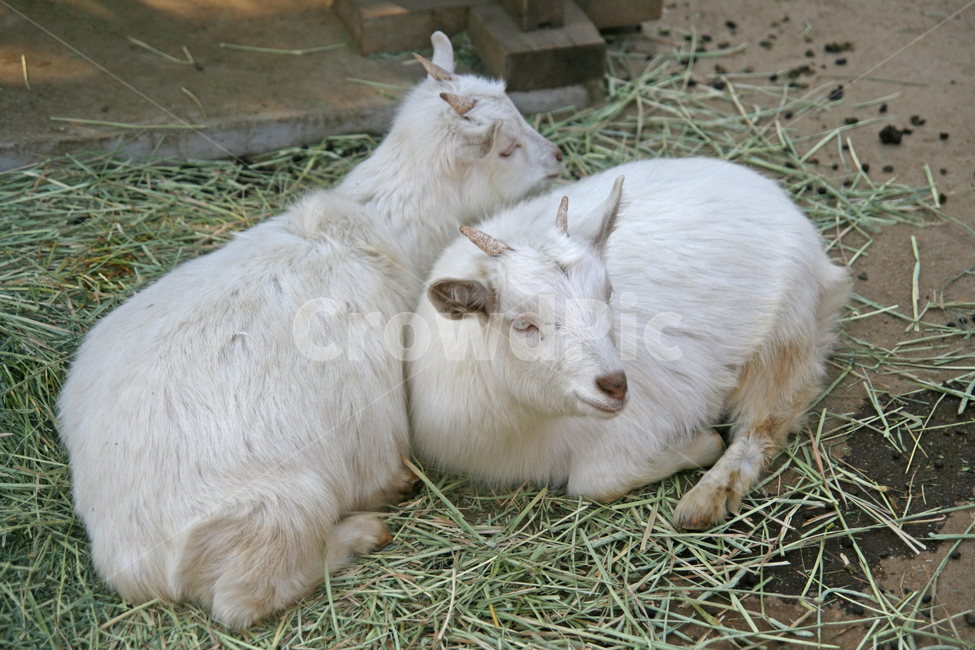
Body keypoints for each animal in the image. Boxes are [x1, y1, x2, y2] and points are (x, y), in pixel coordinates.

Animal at [56, 31, 563, 629]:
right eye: (505, 149)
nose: (558, 157)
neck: (379, 228)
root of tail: (127, 560)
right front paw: (394, 485)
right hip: (281, 509)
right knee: (246, 598)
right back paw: (361, 533)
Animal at [407, 158, 850, 530]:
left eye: (608, 294)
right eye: (523, 324)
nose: (615, 385)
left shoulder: (642, 419)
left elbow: (592, 481)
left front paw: (702, 443)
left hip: (787, 328)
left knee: (769, 418)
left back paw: (703, 500)